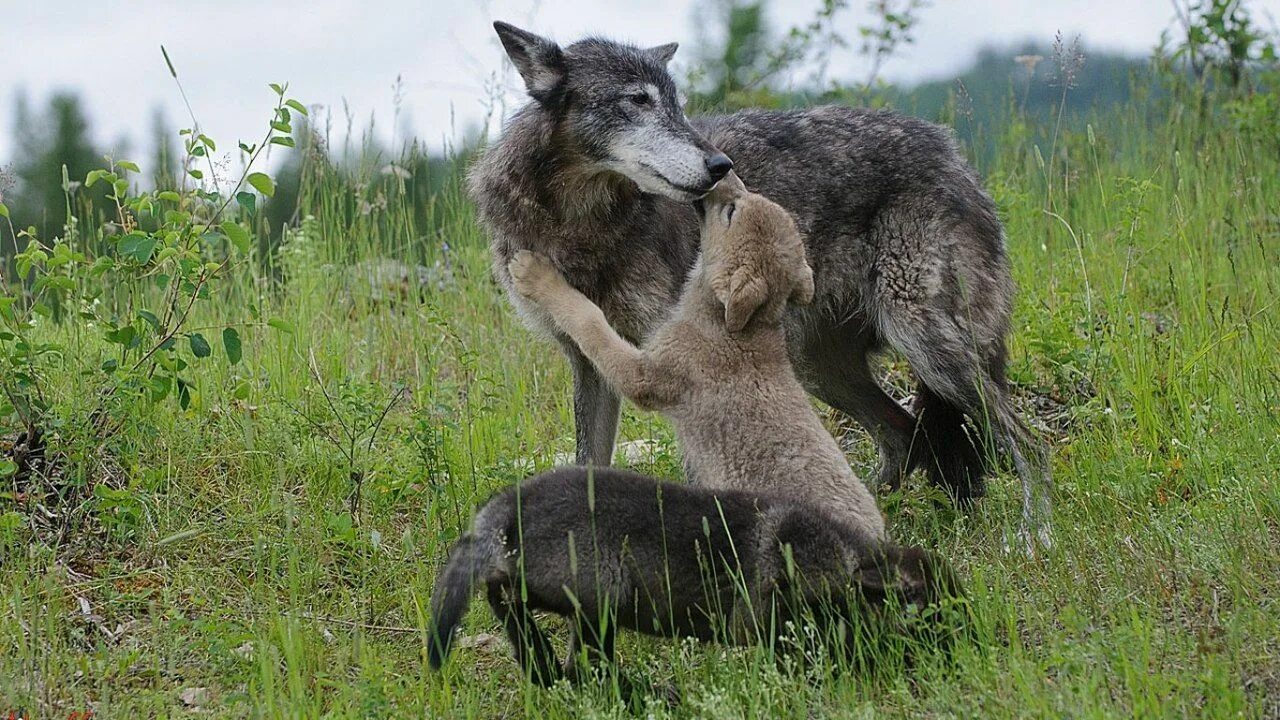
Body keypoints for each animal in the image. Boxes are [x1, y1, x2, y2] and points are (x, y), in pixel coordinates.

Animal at [424, 466, 962, 681]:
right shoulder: (776, 622)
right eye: (939, 609)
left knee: (531, 640)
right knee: (586, 670)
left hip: (548, 597)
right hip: (600, 602)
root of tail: (504, 513)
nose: (972, 643)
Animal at [504, 169, 885, 538]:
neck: (734, 325)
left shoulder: (646, 373)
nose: (724, 169)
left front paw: (535, 273)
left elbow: (590, 319)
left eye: (731, 212)